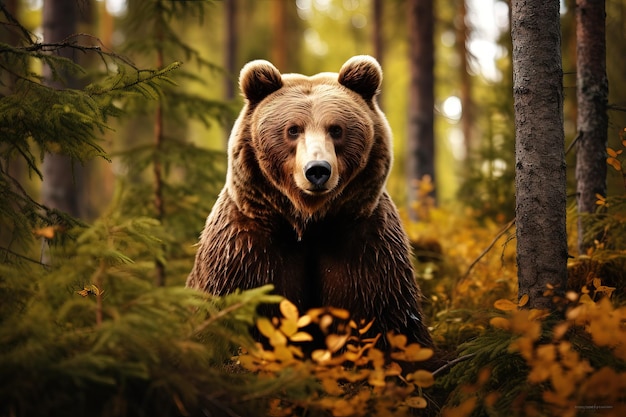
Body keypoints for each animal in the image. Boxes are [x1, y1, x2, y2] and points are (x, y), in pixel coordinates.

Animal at [185, 55, 428, 348]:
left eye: (336, 129)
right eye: (292, 129)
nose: (317, 170)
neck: (309, 223)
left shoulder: (367, 246)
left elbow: (386, 318)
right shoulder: (245, 250)